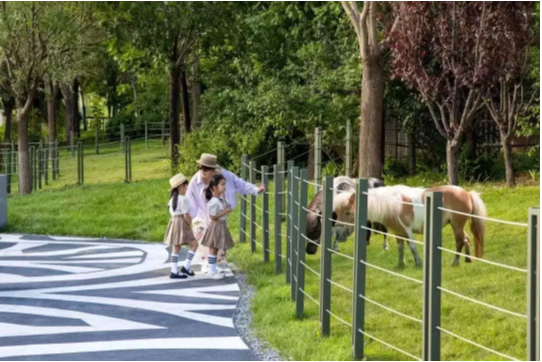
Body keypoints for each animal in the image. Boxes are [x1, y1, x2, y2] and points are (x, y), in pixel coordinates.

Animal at [334, 185, 490, 268]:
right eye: (337, 212)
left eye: (348, 212)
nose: (338, 235)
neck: (393, 204)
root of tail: (467, 193)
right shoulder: (398, 233)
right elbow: (401, 248)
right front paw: (400, 264)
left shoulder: (407, 231)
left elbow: (413, 247)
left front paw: (418, 263)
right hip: (458, 225)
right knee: (466, 239)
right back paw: (467, 259)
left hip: (457, 225)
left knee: (459, 241)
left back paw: (455, 262)